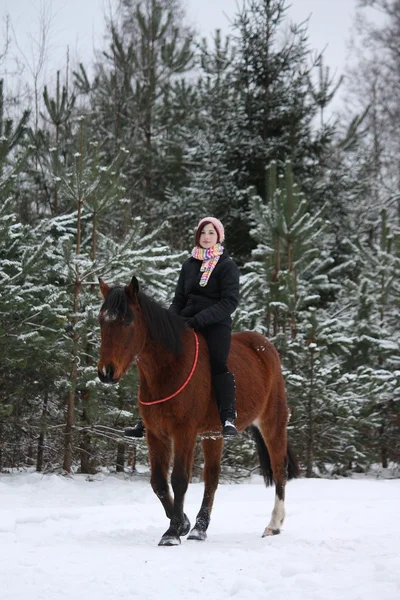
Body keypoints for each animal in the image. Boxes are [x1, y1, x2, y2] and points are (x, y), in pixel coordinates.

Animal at [96, 274, 296, 548]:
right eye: (101, 320)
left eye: (127, 321)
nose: (106, 372)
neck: (170, 368)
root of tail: (265, 346)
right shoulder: (155, 434)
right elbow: (158, 482)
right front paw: (182, 523)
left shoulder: (185, 432)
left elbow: (179, 479)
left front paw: (172, 532)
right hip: (214, 434)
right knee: (212, 478)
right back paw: (200, 529)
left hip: (272, 423)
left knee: (279, 470)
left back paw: (273, 525)